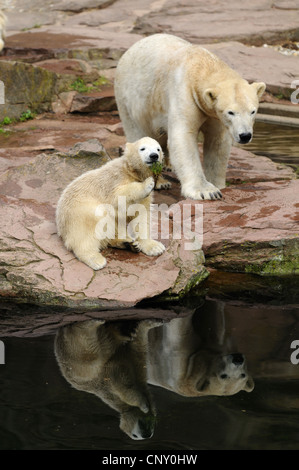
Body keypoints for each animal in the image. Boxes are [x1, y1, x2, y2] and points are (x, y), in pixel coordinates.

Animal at [115, 34, 268, 200]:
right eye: (231, 112)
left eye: (253, 111)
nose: (245, 135)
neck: (200, 65)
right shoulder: (184, 93)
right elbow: (183, 138)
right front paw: (207, 191)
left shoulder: (214, 114)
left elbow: (218, 143)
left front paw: (218, 185)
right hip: (130, 101)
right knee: (139, 134)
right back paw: (161, 182)